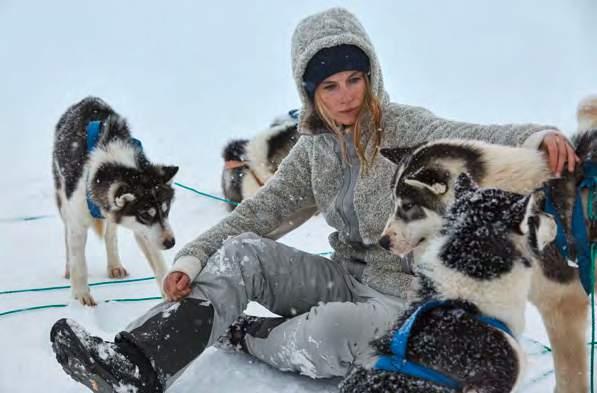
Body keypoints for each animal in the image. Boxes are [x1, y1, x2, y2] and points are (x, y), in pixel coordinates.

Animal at [53, 96, 177, 304]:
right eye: (145, 215)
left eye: (166, 210)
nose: (171, 242)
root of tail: (87, 99)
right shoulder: (78, 223)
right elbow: (80, 264)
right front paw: (81, 296)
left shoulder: (143, 230)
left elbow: (158, 261)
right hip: (63, 201)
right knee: (66, 235)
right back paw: (69, 267)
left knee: (110, 236)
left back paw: (114, 265)